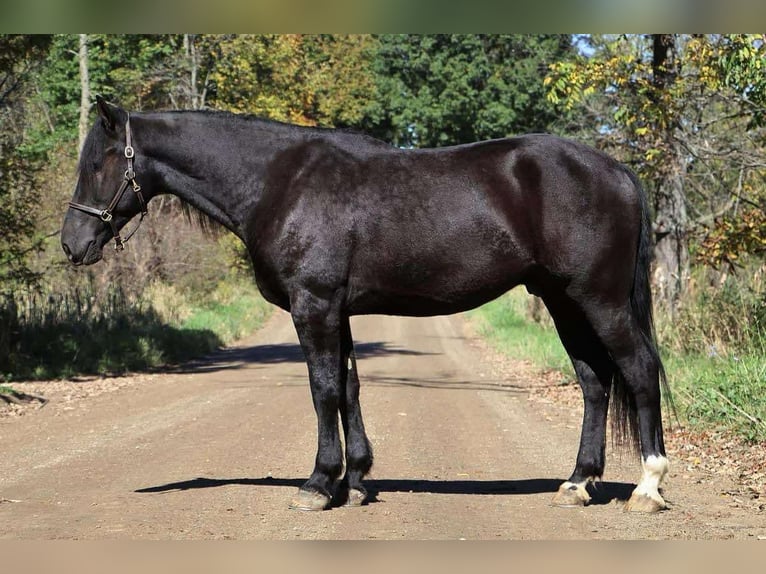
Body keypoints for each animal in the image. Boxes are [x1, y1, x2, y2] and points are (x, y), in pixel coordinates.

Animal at [61, 98, 672, 512]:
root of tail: (618, 172)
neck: (279, 182)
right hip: (564, 302)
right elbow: (350, 385)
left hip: (600, 301)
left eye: (97, 163)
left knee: (639, 370)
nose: (72, 244)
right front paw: (354, 482)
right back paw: (577, 483)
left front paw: (317, 484)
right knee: (595, 382)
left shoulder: (313, 306)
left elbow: (323, 389)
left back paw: (648, 487)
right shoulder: (339, 311)